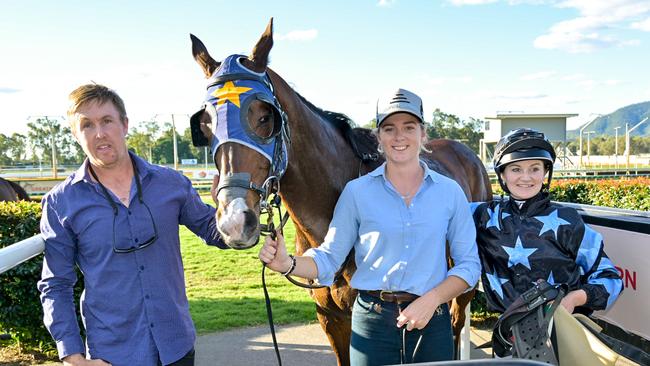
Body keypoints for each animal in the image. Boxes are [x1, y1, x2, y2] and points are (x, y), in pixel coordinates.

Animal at [190, 19, 488, 364]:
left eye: (265, 117)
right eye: (206, 125)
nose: (235, 221)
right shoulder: (330, 316)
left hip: (463, 285)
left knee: (455, 322)